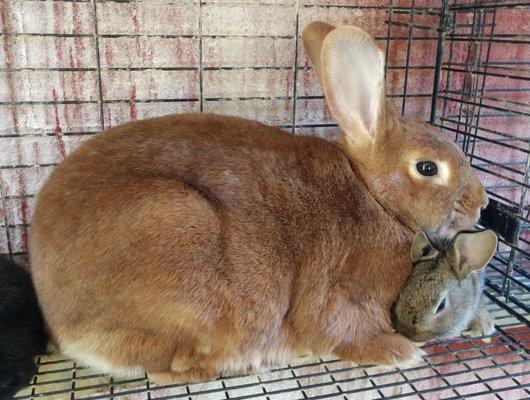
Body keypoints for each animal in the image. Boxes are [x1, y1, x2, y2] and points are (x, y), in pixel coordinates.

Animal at [23, 22, 486, 384]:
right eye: (427, 168)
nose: (482, 204)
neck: (375, 197)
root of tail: (59, 324)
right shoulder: (337, 292)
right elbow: (339, 331)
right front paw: (400, 352)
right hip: (180, 235)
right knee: (168, 365)